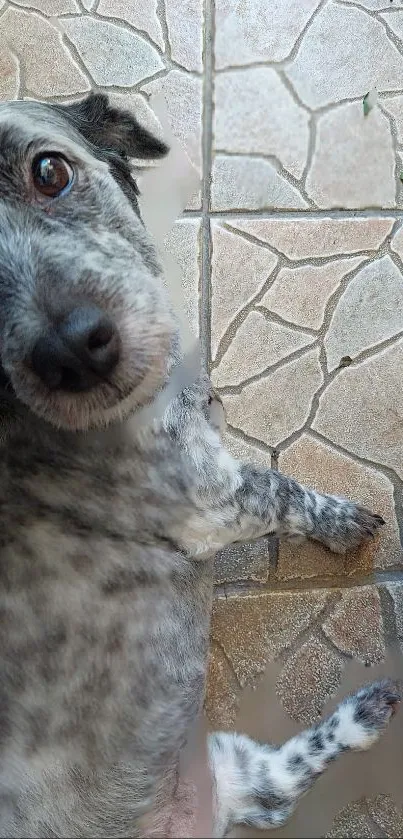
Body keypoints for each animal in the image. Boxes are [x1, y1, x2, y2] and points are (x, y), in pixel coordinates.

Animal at [0, 93, 400, 839]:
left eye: (49, 171)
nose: (71, 352)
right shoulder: (213, 502)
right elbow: (281, 488)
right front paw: (340, 523)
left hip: (231, 757)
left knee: (280, 788)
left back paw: (367, 710)